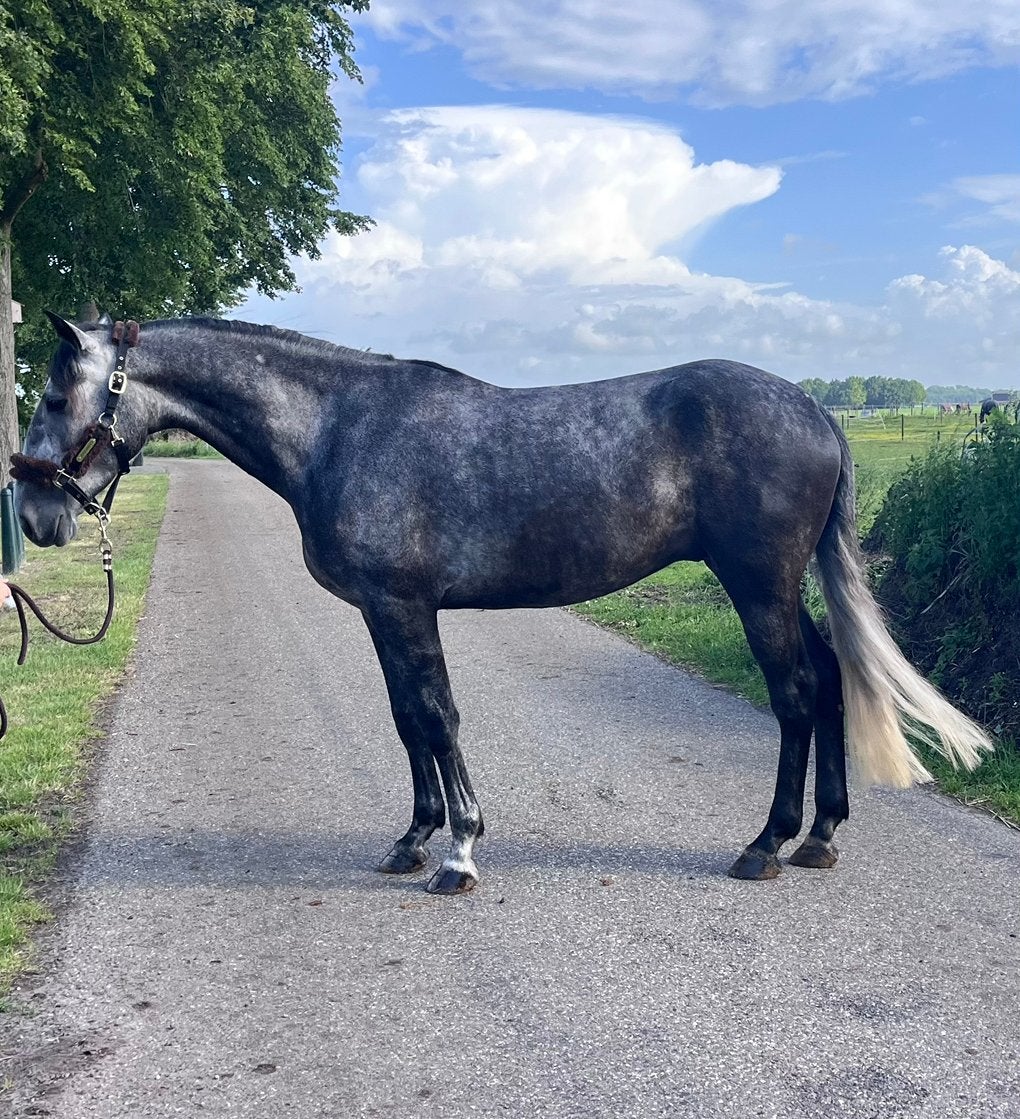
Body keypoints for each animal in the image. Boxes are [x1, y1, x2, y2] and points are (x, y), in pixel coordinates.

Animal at [14, 315, 993, 894]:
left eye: (57, 393)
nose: (33, 514)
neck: (338, 428)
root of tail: (817, 411)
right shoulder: (381, 612)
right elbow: (406, 717)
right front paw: (411, 839)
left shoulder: (406, 605)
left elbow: (438, 716)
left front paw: (460, 849)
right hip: (781, 585)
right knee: (827, 681)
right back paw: (821, 834)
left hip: (756, 583)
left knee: (795, 694)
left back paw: (766, 844)